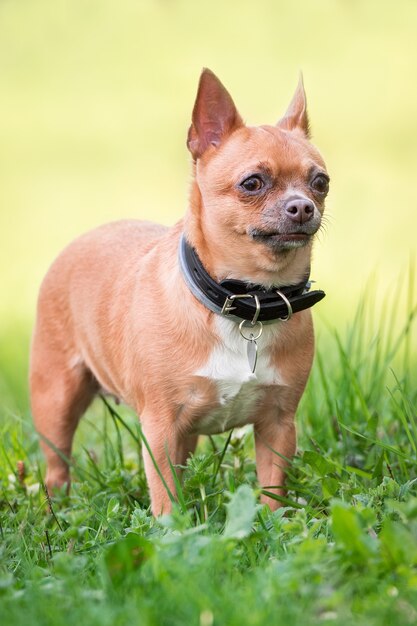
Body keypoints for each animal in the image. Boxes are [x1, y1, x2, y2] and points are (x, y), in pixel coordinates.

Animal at [29, 70, 328, 516]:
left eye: (320, 182)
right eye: (252, 183)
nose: (303, 206)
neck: (247, 302)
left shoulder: (278, 424)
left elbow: (272, 491)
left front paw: (275, 526)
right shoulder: (161, 427)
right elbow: (166, 498)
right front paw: (175, 532)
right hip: (56, 402)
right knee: (56, 468)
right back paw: (56, 513)